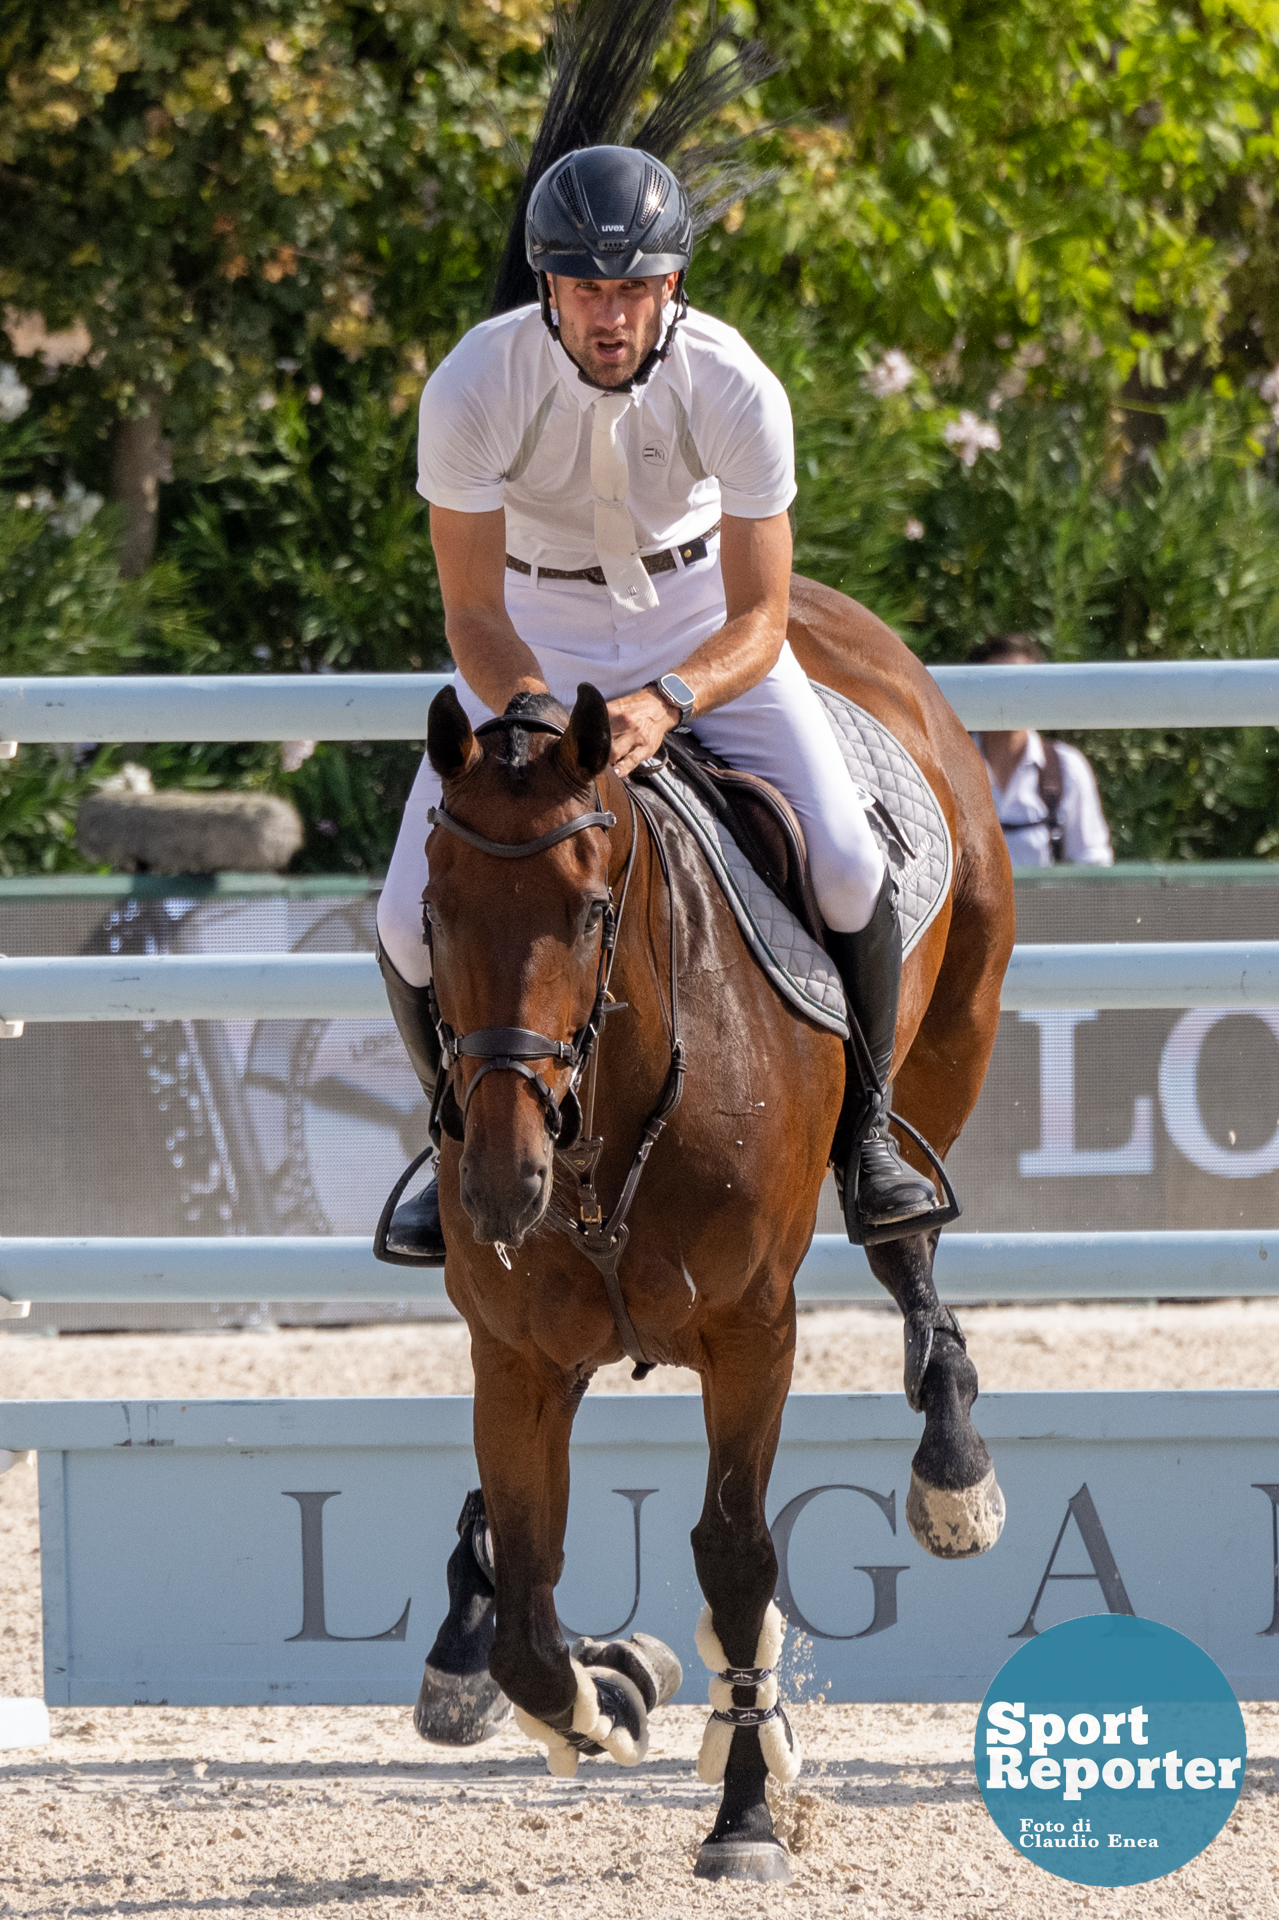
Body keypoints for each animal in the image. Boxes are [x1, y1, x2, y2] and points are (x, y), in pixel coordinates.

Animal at [412, 576, 1013, 1881]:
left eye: (592, 912)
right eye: (429, 916)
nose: (499, 1185)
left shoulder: (750, 1335)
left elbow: (736, 1558)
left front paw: (744, 1815)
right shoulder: (517, 1358)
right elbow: (528, 1608)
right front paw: (608, 1693)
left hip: (953, 1037)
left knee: (907, 1246)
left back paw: (952, 1469)